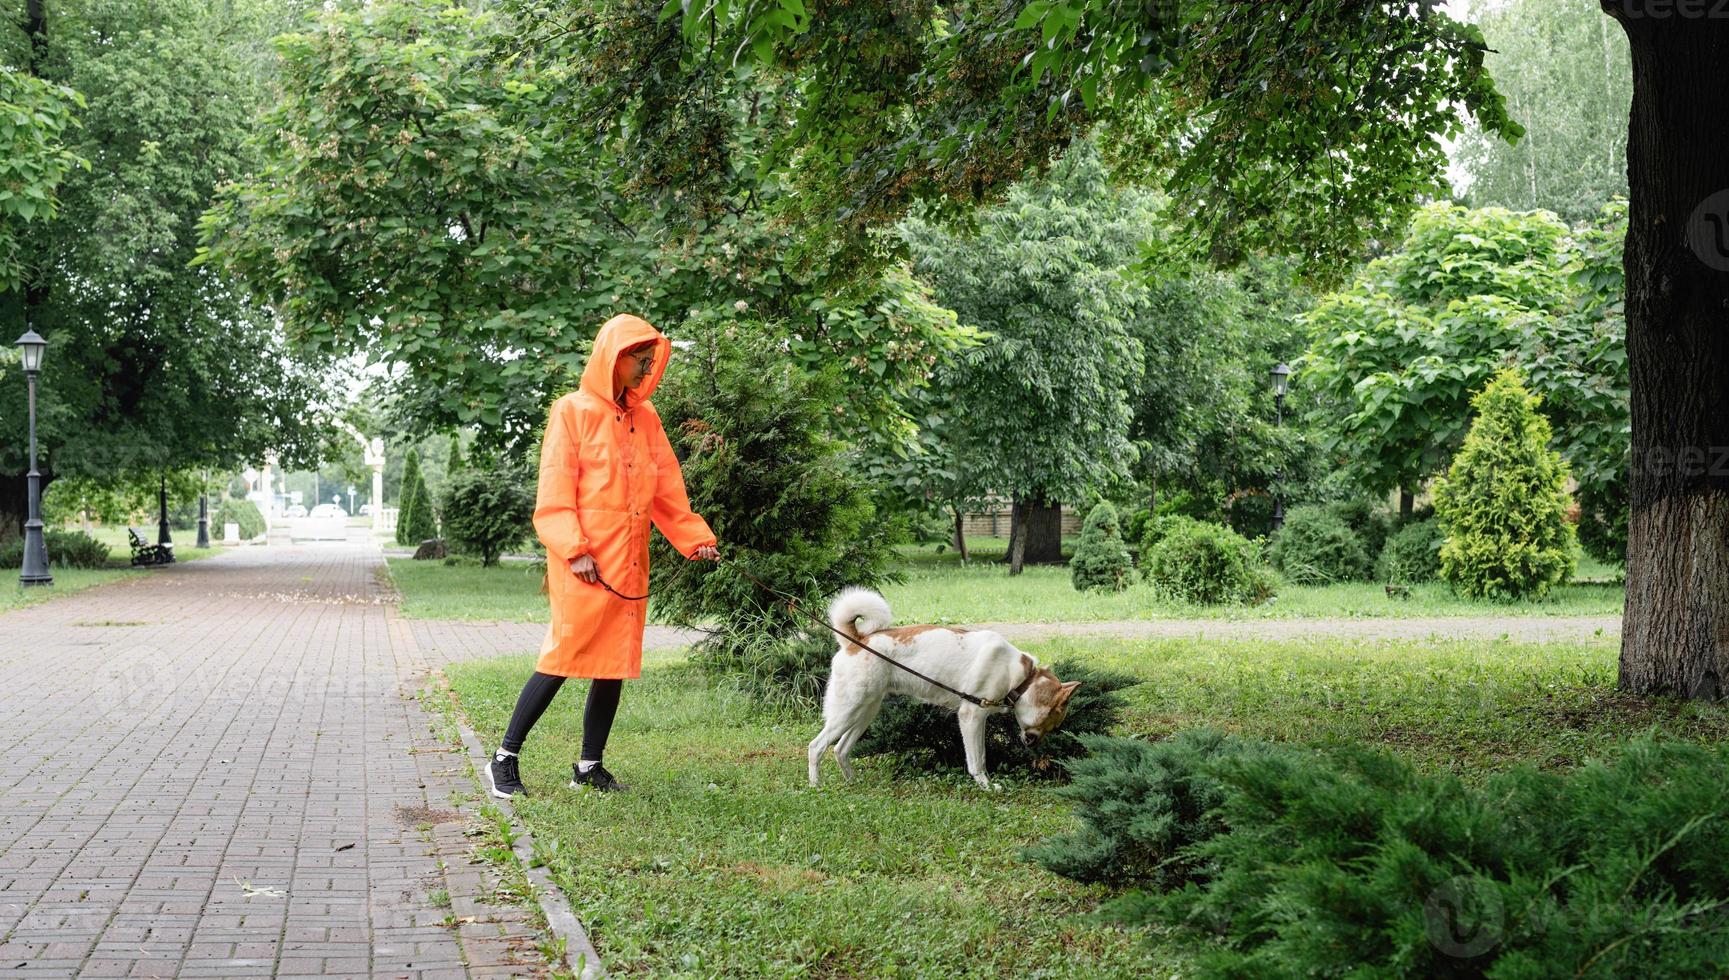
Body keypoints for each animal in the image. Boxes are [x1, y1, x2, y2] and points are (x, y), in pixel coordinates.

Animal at [802, 591, 1071, 791]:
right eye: (1053, 723)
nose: (1034, 746)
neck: (1021, 677)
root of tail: (856, 640)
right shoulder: (971, 717)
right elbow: (978, 760)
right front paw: (986, 786)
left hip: (865, 712)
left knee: (840, 749)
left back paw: (853, 782)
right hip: (848, 711)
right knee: (816, 747)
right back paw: (816, 786)